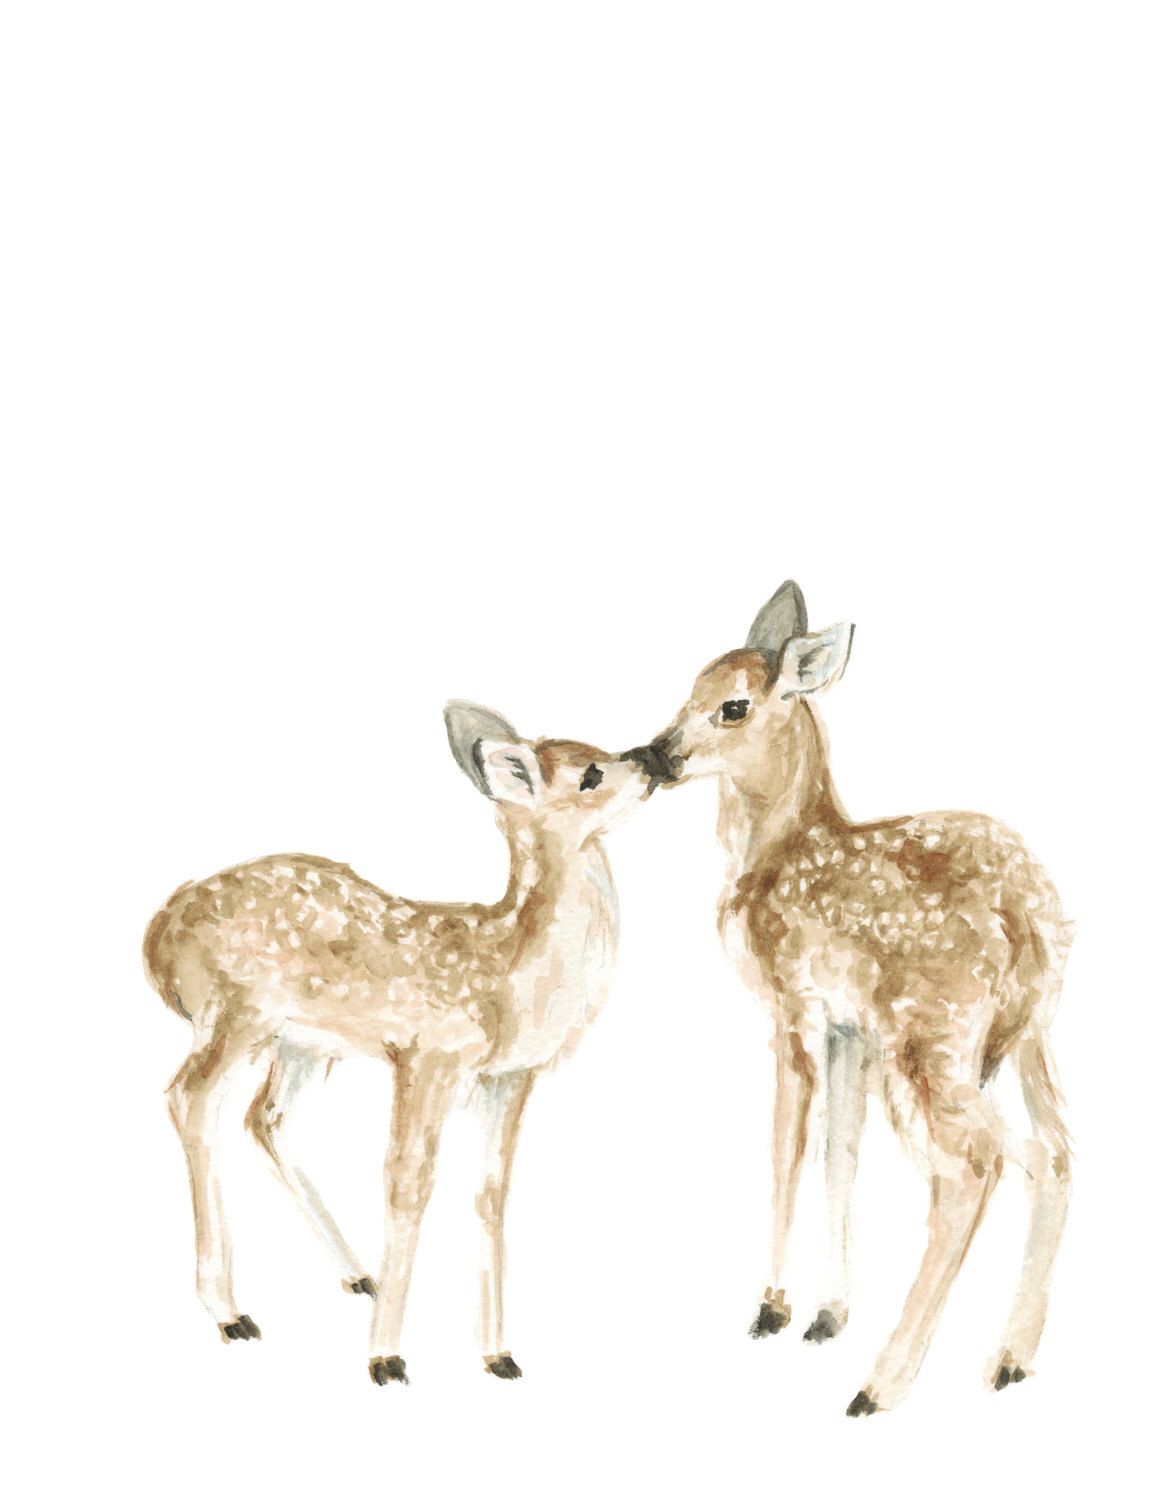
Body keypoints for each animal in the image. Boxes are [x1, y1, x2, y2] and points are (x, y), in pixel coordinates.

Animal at [143, 701, 653, 1386]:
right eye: (592, 773)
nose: (654, 759)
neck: (509, 980)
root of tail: (159, 939)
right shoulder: (426, 1054)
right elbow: (408, 1183)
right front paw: (385, 1357)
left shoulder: (509, 1078)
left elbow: (491, 1194)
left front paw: (498, 1354)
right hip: (237, 1012)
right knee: (190, 1099)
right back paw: (232, 1312)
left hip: (302, 1043)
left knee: (264, 1118)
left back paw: (360, 1276)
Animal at [624, 581, 1073, 1414]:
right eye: (690, 686)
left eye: (731, 706)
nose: (653, 755)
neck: (771, 852)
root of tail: (1029, 918)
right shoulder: (848, 1030)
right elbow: (840, 1149)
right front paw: (826, 1315)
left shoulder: (790, 1006)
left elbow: (786, 1145)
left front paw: (771, 1307)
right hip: (1027, 1033)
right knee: (1051, 1152)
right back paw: (1007, 1362)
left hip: (928, 1033)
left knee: (975, 1164)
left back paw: (881, 1384)